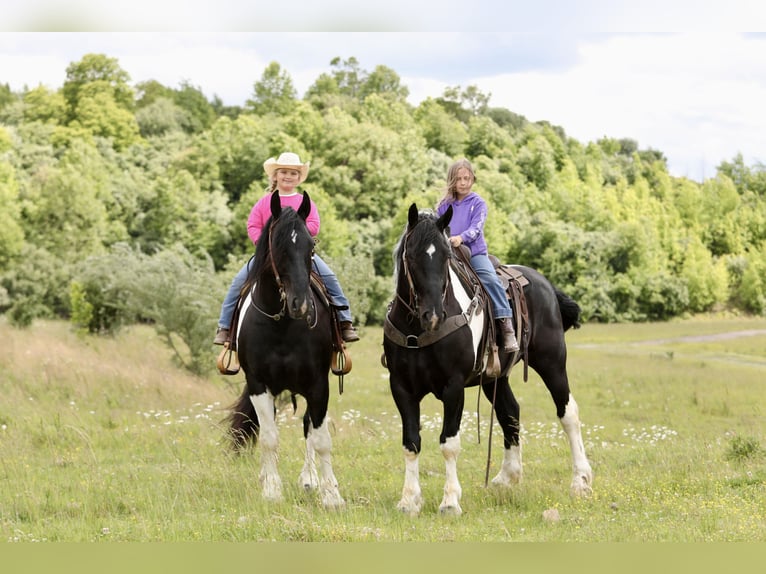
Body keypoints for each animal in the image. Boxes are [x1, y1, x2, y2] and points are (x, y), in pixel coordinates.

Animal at [228, 191, 344, 509]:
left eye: (310, 245)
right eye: (278, 245)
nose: (300, 304)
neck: (281, 325)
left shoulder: (318, 384)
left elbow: (321, 438)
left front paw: (331, 495)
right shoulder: (258, 385)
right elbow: (269, 437)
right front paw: (271, 489)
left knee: (309, 426)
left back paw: (309, 479)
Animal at [382, 204, 592, 516]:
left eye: (446, 256)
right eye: (410, 256)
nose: (433, 315)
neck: (417, 331)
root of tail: (546, 285)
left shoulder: (453, 387)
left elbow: (449, 443)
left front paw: (450, 501)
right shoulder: (401, 387)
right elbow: (411, 443)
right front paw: (409, 500)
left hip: (552, 362)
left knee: (568, 413)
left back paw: (580, 481)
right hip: (496, 377)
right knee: (510, 413)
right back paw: (507, 478)